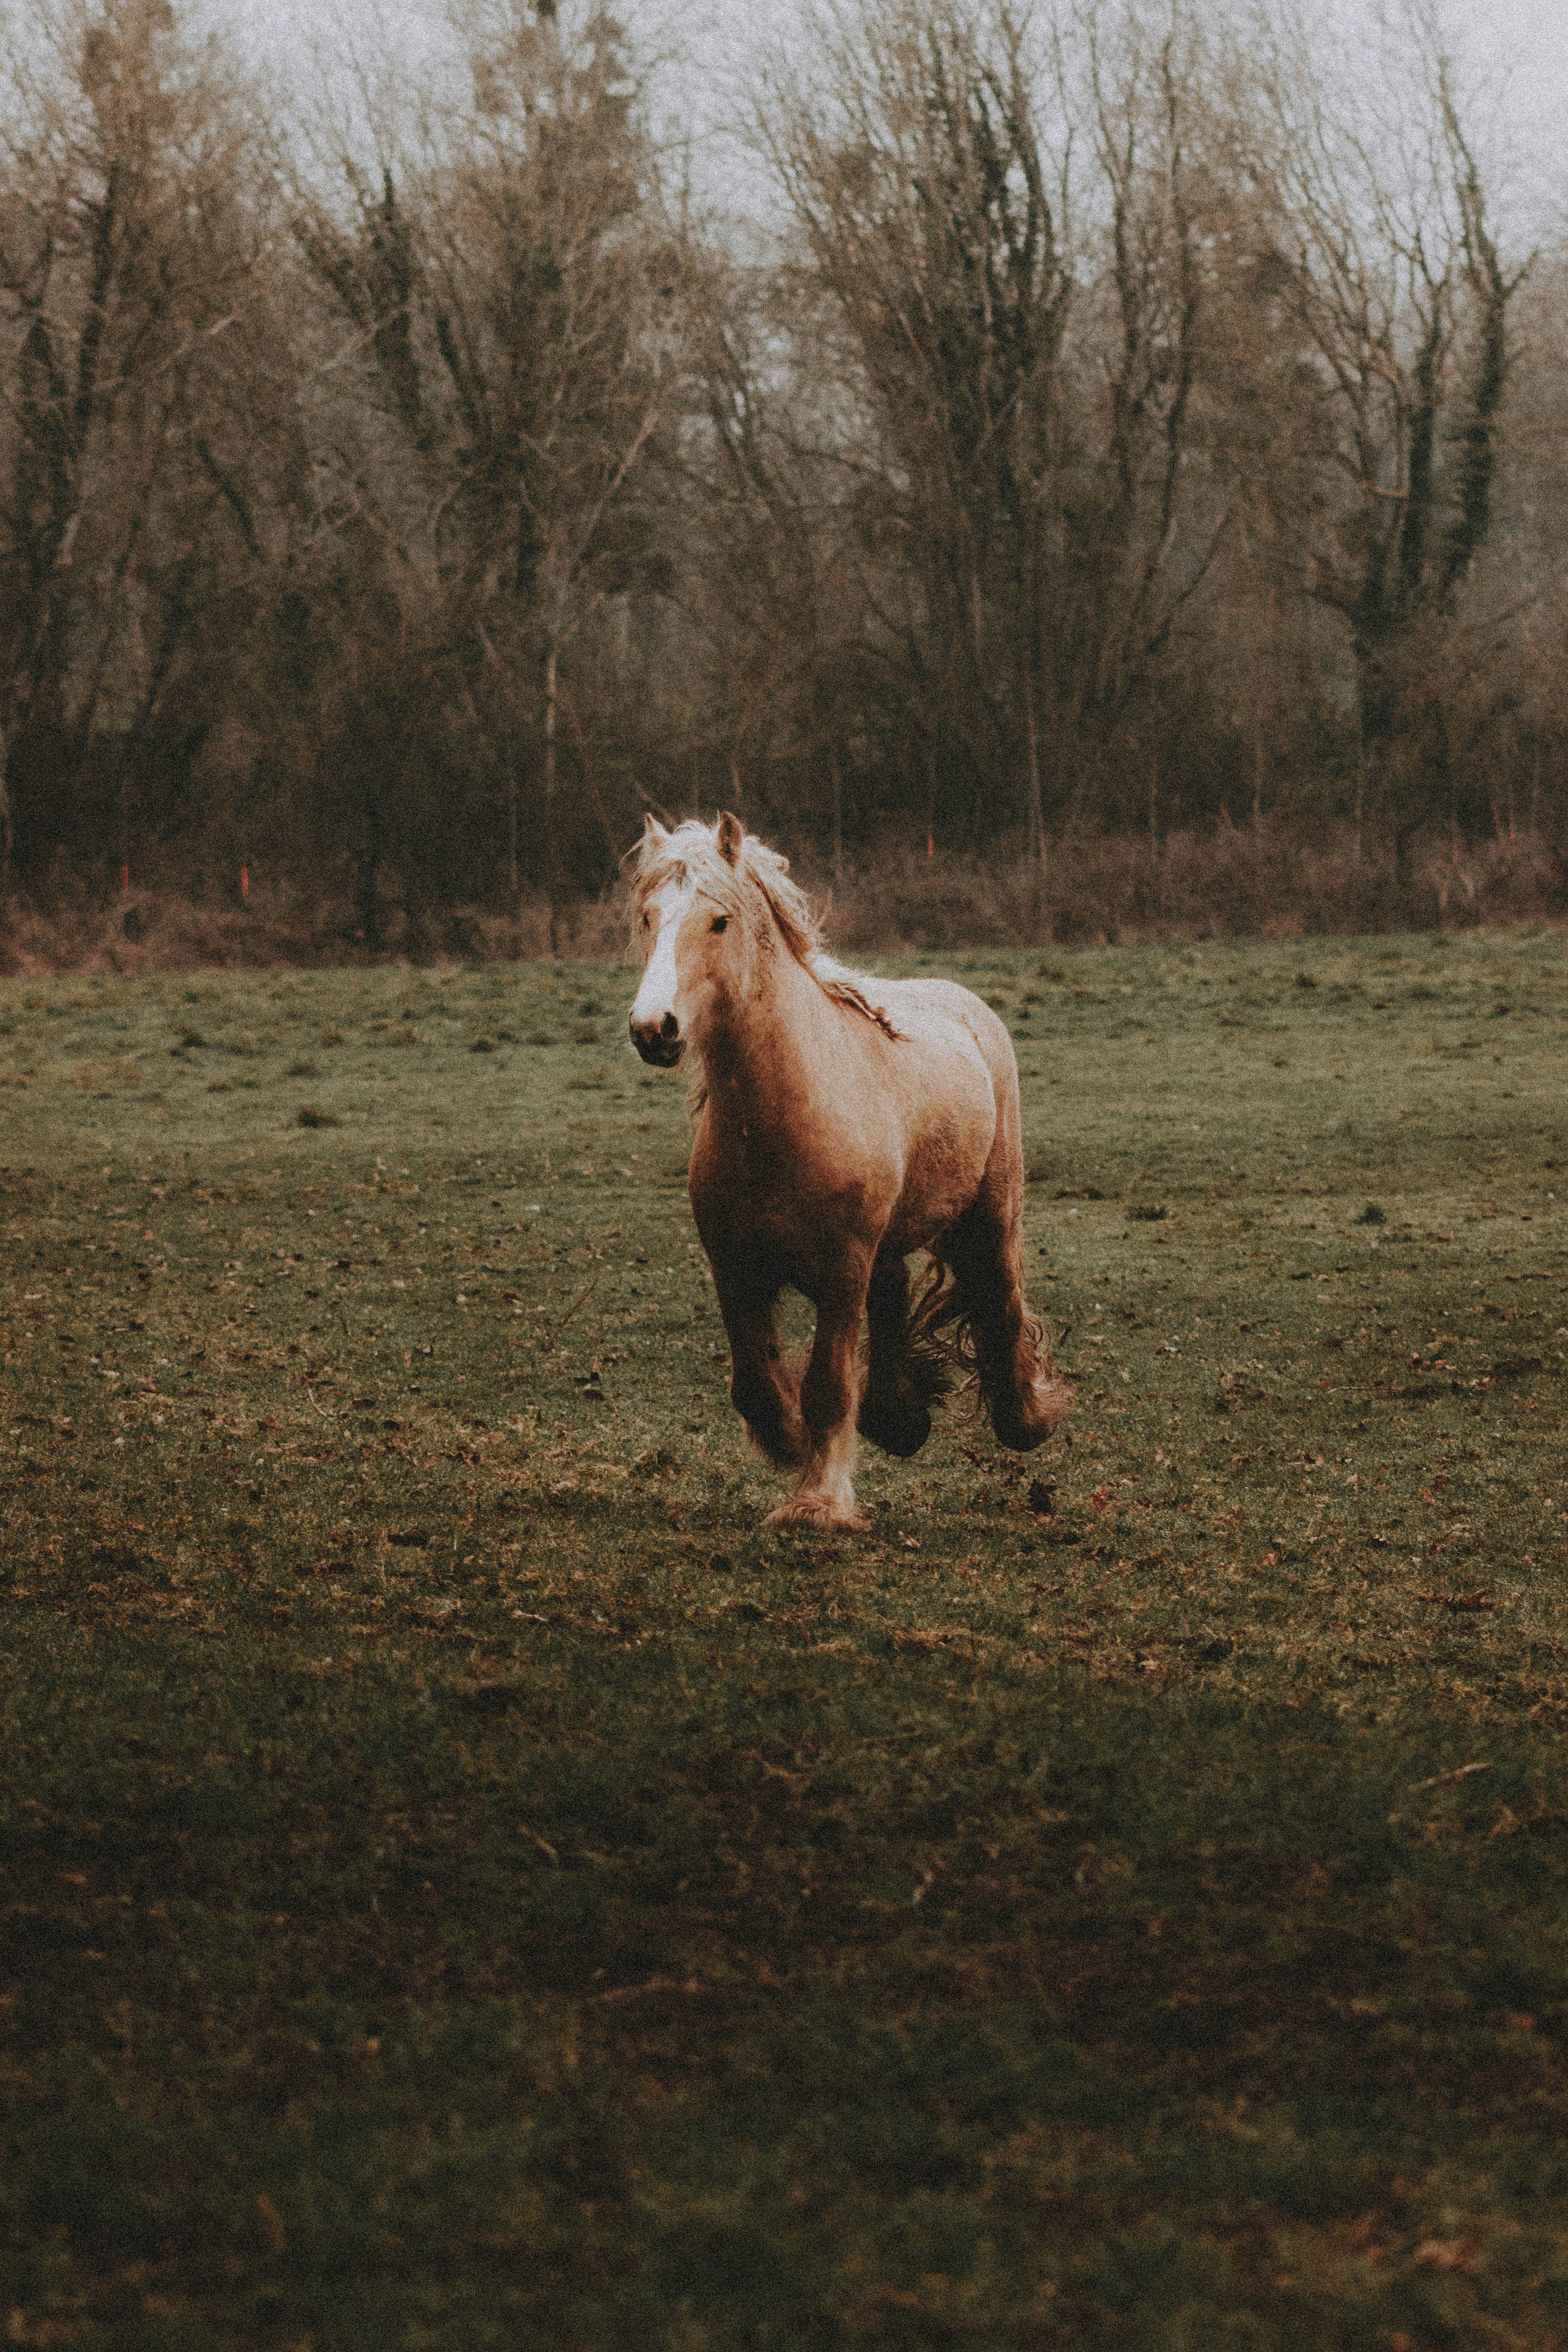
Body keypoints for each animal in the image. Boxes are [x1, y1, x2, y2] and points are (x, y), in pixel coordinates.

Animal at [627, 812, 1069, 1531]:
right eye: (647, 917)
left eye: (719, 922)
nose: (652, 1028)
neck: (781, 1121)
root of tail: (964, 1004)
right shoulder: (733, 1265)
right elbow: (754, 1379)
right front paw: (787, 1441)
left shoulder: (842, 1269)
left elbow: (828, 1386)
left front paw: (818, 1502)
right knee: (894, 1296)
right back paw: (899, 1419)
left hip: (992, 1211)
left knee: (999, 1298)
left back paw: (1022, 1419)